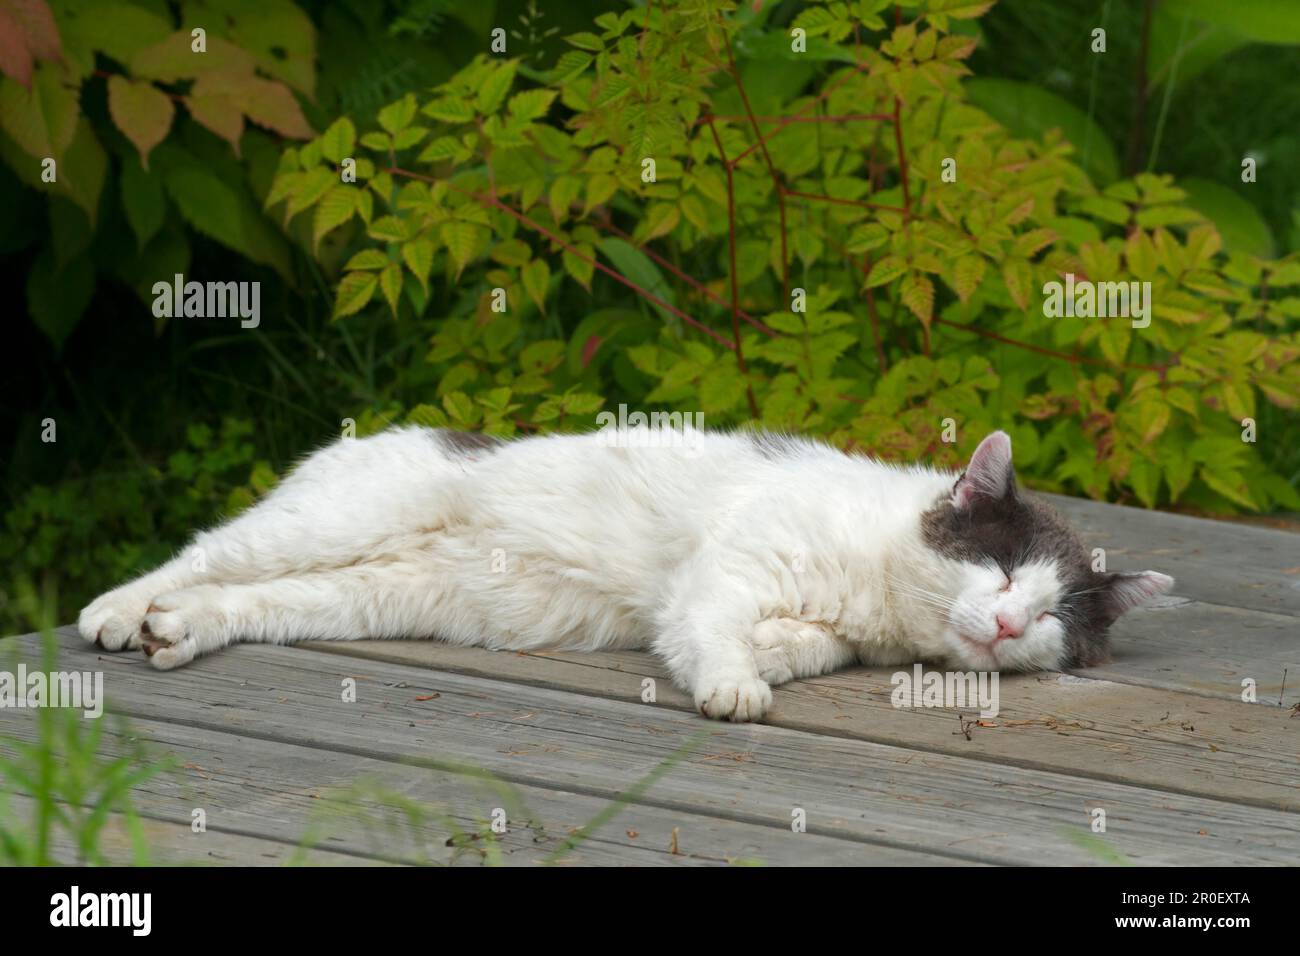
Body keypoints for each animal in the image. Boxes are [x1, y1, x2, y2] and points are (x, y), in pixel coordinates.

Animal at [81, 429, 1180, 723]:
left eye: (1053, 616)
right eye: (998, 564)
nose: (1008, 626)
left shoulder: (819, 629)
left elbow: (790, 646)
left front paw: (765, 663)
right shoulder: (724, 571)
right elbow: (716, 629)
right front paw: (735, 685)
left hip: (357, 595)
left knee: (241, 601)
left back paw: (177, 630)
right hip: (332, 519)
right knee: (202, 550)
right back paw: (119, 610)